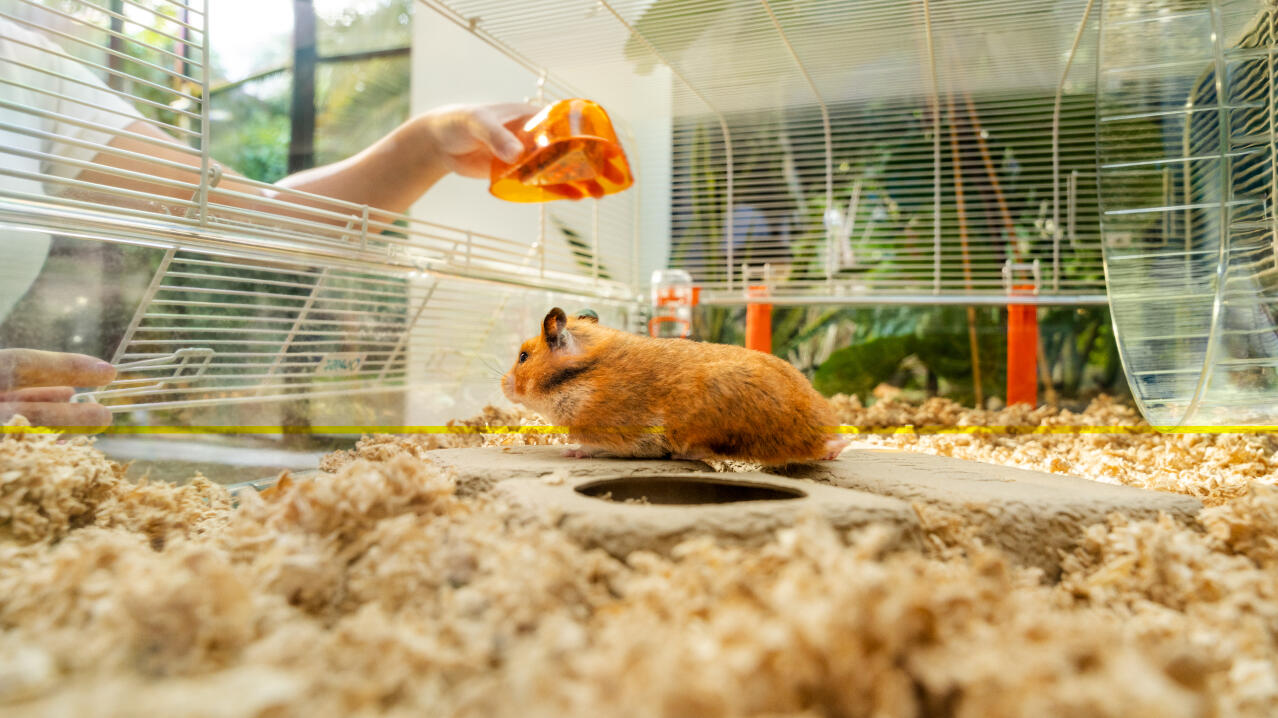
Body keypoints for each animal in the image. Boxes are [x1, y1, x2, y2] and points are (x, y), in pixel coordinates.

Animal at [498, 306, 848, 465]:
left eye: (524, 357)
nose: (502, 384)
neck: (583, 377)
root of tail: (818, 434)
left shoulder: (612, 433)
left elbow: (589, 446)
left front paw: (569, 451)